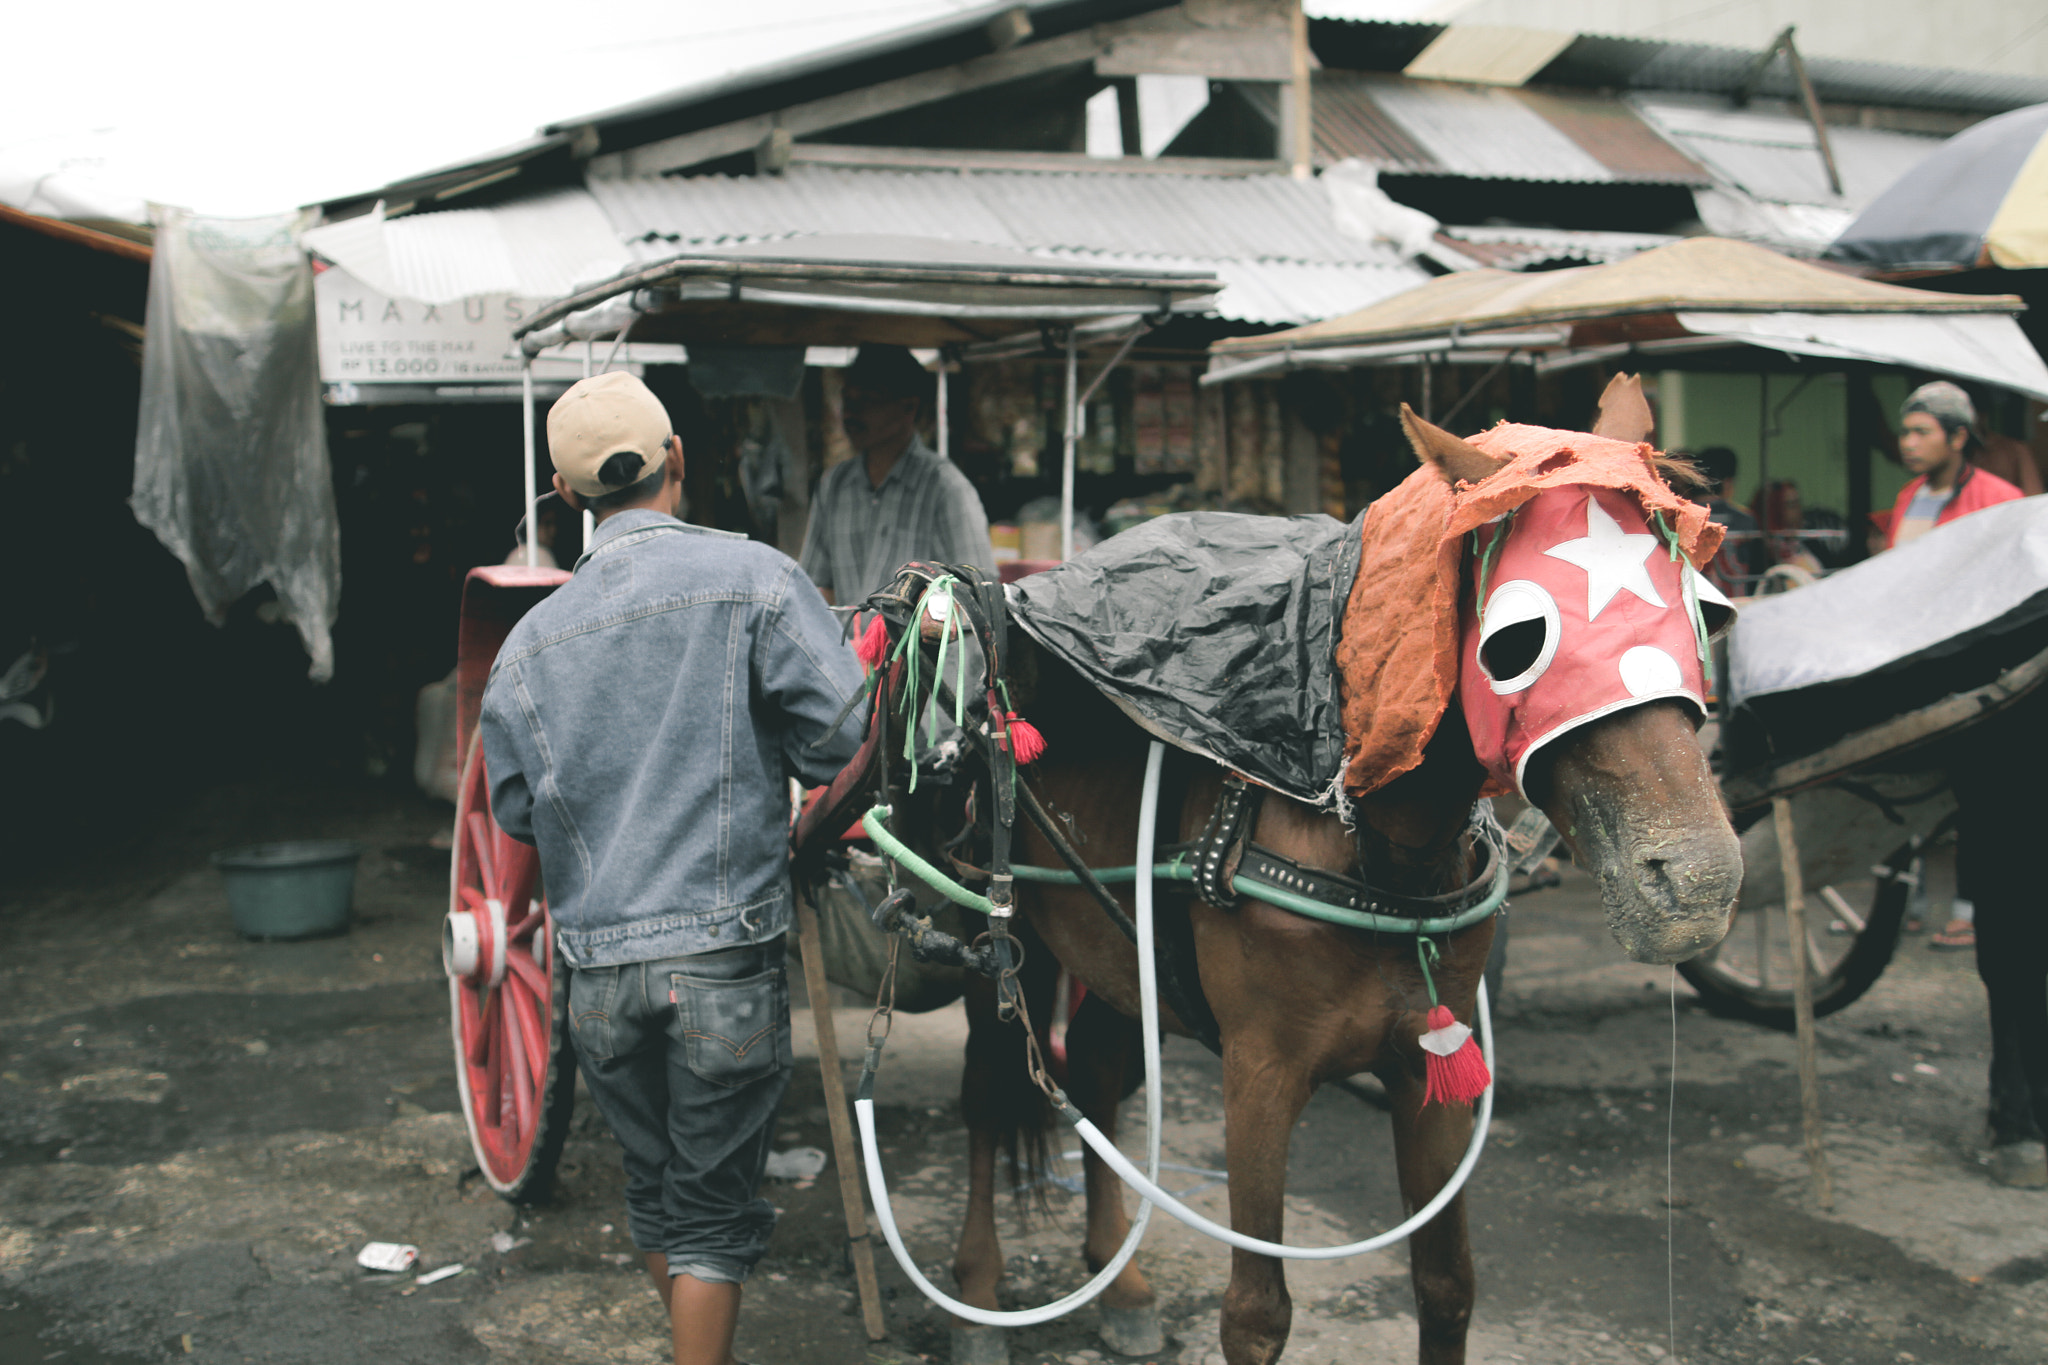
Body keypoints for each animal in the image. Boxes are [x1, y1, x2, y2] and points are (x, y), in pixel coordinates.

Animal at [843, 382, 1744, 1365]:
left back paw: (1121, 1285)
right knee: (991, 1089)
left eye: (1708, 610)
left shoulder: (1432, 1059)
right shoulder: (1260, 1074)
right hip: (984, 926)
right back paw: (976, 1294)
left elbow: (1447, 1284)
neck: (1372, 841)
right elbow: (1257, 1312)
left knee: (1097, 1072)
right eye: (1517, 641)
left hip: (1118, 952)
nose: (1698, 881)